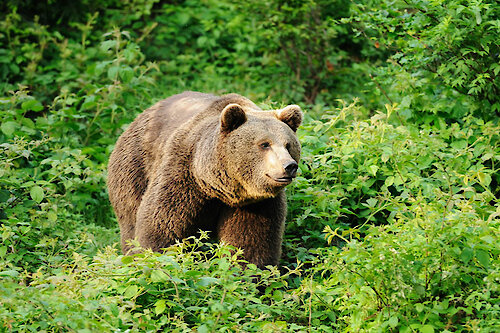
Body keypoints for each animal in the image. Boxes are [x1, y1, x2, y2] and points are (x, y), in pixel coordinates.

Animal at [108, 91, 302, 268]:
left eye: (288, 145)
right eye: (264, 144)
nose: (289, 166)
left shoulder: (255, 204)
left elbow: (251, 240)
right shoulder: (183, 176)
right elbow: (162, 225)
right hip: (135, 166)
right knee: (130, 218)